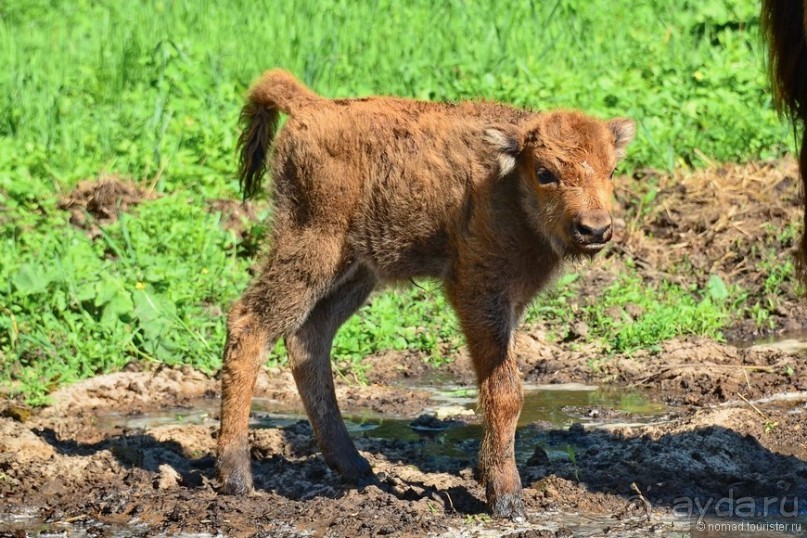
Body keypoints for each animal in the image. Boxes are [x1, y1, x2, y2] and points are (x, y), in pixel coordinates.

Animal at [218, 69, 636, 516]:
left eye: (612, 170)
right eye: (544, 173)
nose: (595, 229)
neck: (508, 185)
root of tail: (312, 105)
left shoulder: (512, 301)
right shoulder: (478, 292)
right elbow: (504, 390)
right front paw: (506, 498)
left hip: (356, 271)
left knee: (308, 339)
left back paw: (354, 466)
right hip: (311, 245)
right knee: (250, 323)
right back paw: (237, 478)